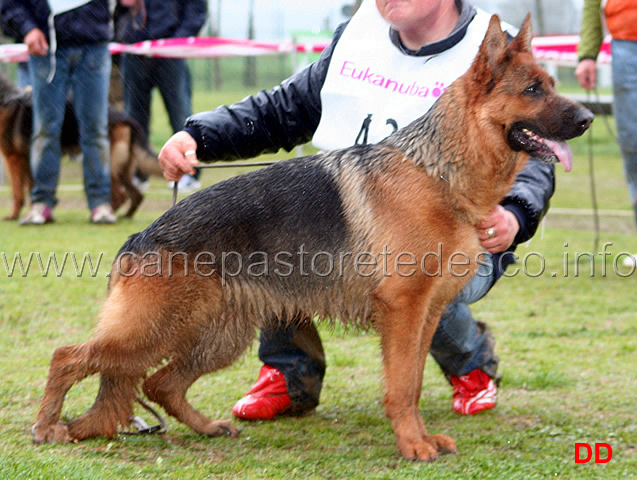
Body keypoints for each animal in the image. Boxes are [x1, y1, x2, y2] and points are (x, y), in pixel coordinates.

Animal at [0, 72, 160, 220]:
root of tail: (127, 118)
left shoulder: (13, 159)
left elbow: (17, 192)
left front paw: (14, 216)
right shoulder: (27, 162)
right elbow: (30, 188)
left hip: (108, 166)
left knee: (120, 195)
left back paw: (105, 215)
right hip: (123, 170)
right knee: (136, 194)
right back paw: (125, 215)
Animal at [32, 15, 592, 462]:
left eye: (551, 83)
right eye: (533, 90)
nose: (588, 117)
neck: (439, 172)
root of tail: (140, 236)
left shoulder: (427, 312)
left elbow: (411, 381)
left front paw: (420, 437)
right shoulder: (404, 311)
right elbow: (401, 386)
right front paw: (413, 445)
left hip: (215, 338)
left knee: (158, 382)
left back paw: (205, 427)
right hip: (153, 330)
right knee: (69, 356)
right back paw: (46, 427)